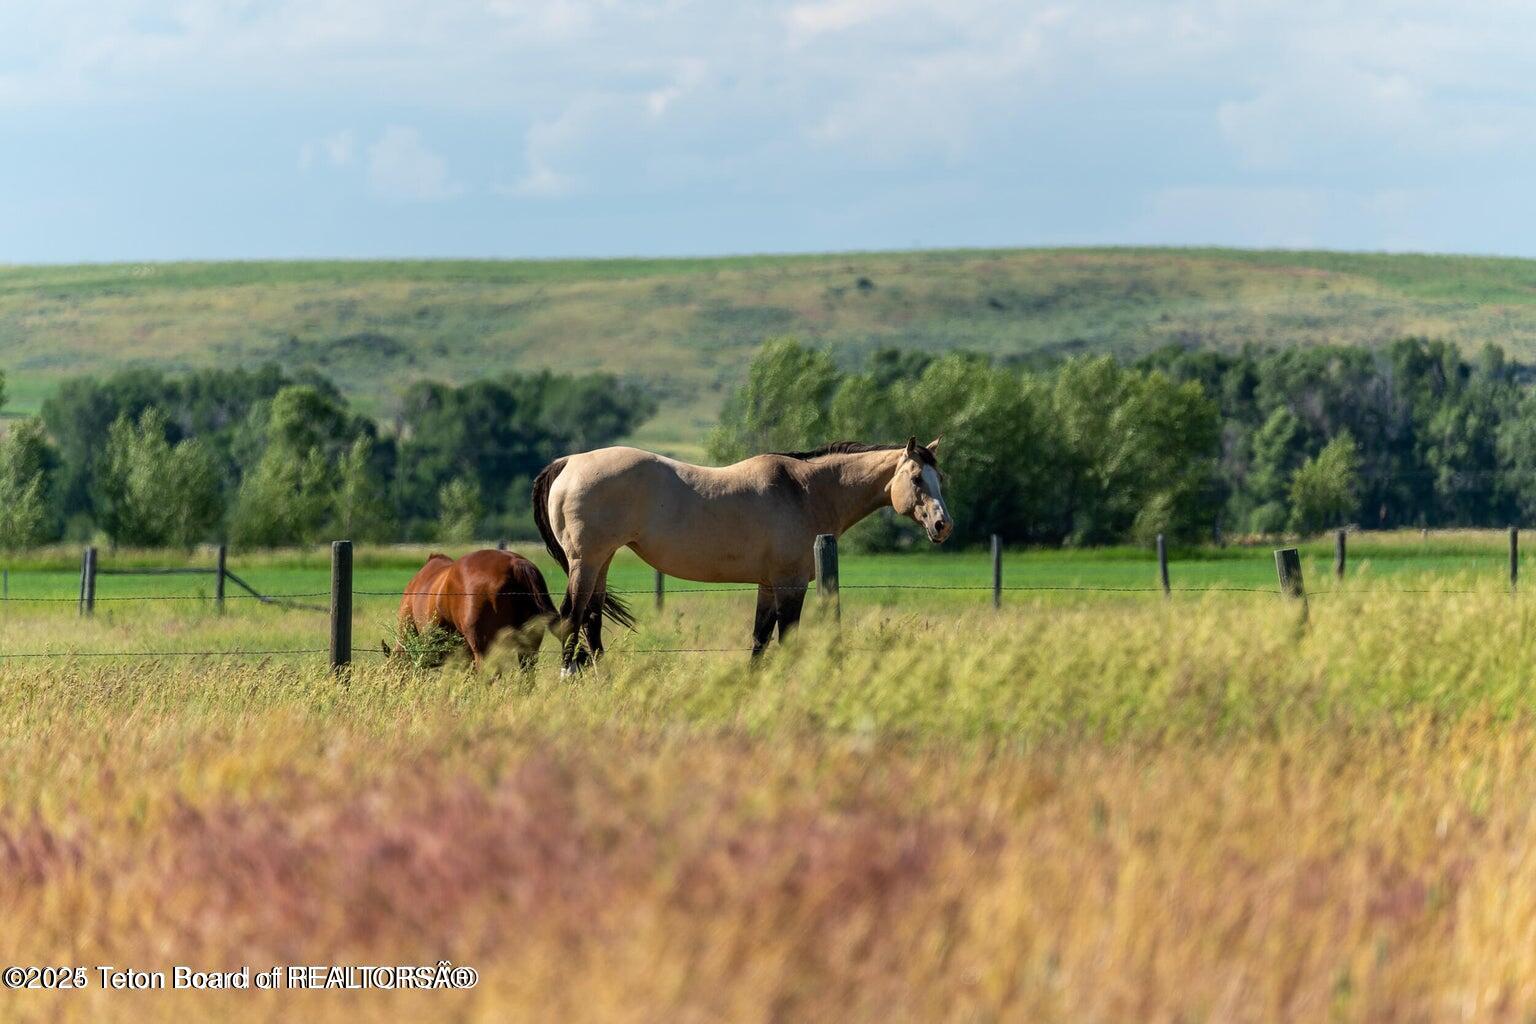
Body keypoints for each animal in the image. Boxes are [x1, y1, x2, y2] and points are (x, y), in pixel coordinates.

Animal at [532, 436, 952, 670]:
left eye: (941, 479)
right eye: (917, 478)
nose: (942, 525)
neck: (804, 490)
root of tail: (568, 462)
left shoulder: (767, 586)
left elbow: (759, 641)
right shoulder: (789, 585)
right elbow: (786, 638)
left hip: (600, 561)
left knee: (590, 619)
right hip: (586, 562)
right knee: (571, 618)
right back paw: (571, 677)